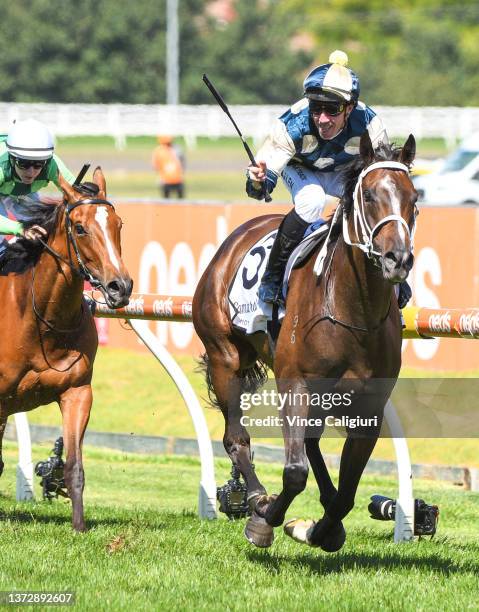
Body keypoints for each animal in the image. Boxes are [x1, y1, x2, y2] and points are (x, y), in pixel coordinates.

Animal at [0, 169, 132, 532]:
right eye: (80, 227)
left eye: (118, 224)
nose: (120, 286)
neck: (41, 322)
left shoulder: (77, 391)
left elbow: (74, 466)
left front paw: (79, 527)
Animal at [193, 133, 418, 548]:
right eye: (368, 196)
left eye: (413, 197)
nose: (398, 258)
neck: (354, 313)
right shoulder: (295, 383)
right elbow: (294, 472)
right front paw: (265, 518)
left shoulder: (369, 406)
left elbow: (347, 492)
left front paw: (323, 528)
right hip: (224, 357)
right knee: (236, 437)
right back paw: (255, 496)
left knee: (310, 444)